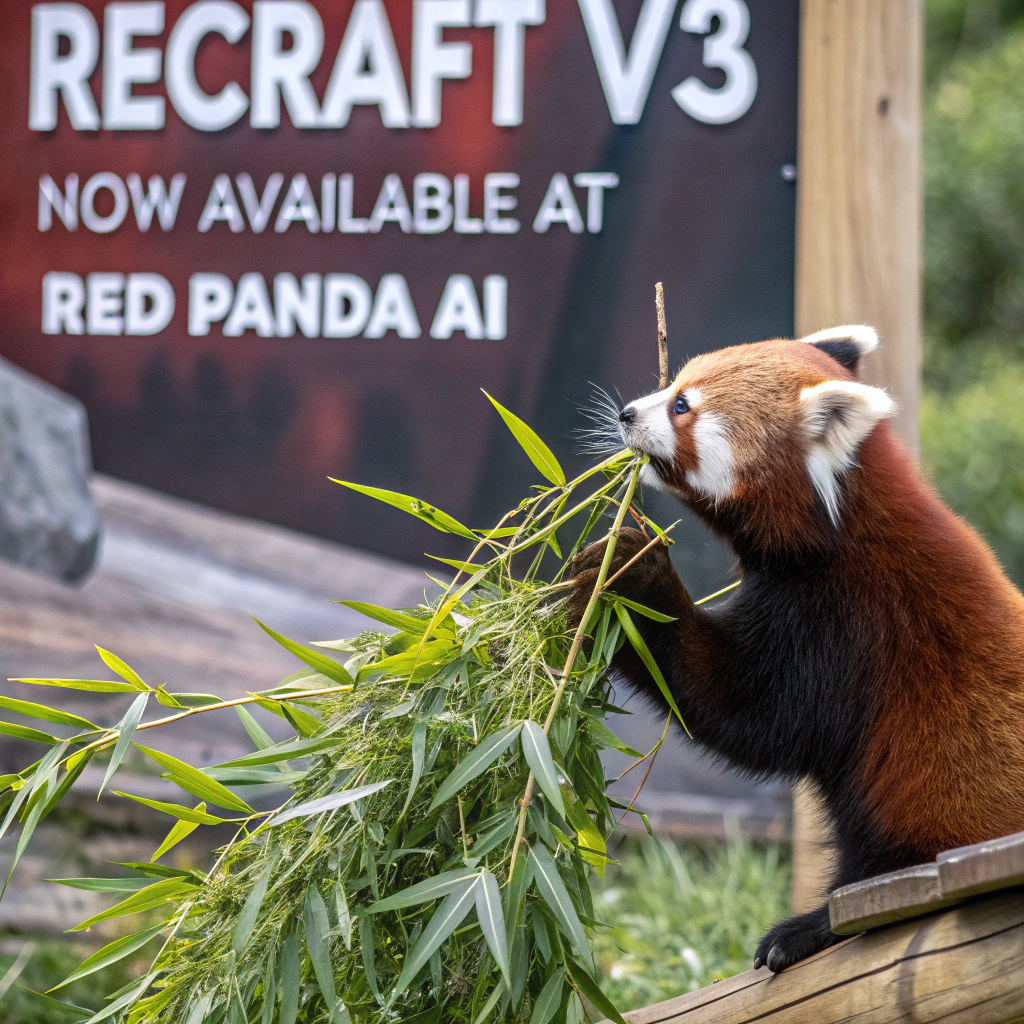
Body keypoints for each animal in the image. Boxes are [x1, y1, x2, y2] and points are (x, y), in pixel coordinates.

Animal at [568, 326, 1024, 973]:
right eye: (673, 384)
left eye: (682, 405)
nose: (628, 414)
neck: (837, 527)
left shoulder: (847, 624)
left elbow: (750, 714)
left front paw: (634, 579)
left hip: (931, 802)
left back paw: (806, 930)